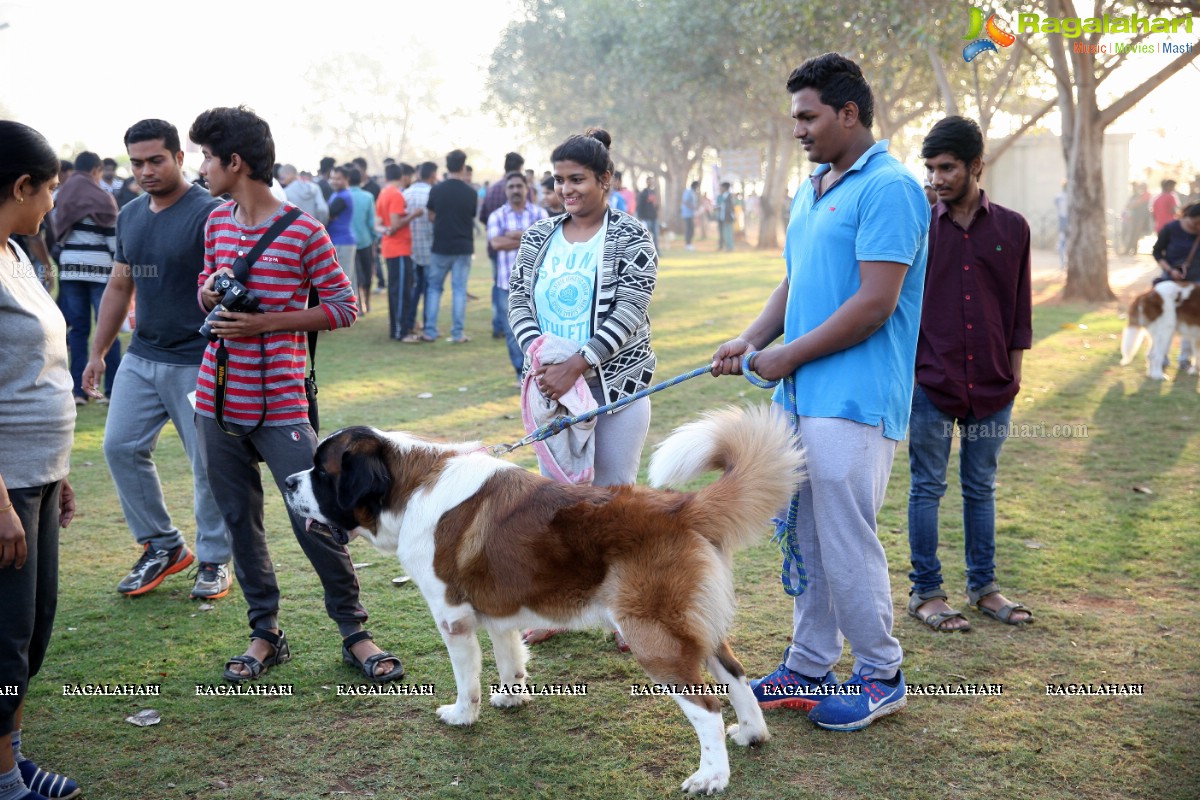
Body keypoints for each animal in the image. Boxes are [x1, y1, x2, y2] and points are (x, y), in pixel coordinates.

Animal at [284, 407, 801, 796]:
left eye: (322, 471)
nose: (287, 482)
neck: (406, 488)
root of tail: (680, 506)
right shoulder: (498, 613)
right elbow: (510, 659)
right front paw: (513, 699)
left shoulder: (453, 618)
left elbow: (466, 678)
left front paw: (462, 716)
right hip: (694, 629)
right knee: (735, 675)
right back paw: (752, 733)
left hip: (655, 640)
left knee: (707, 707)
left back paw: (711, 777)